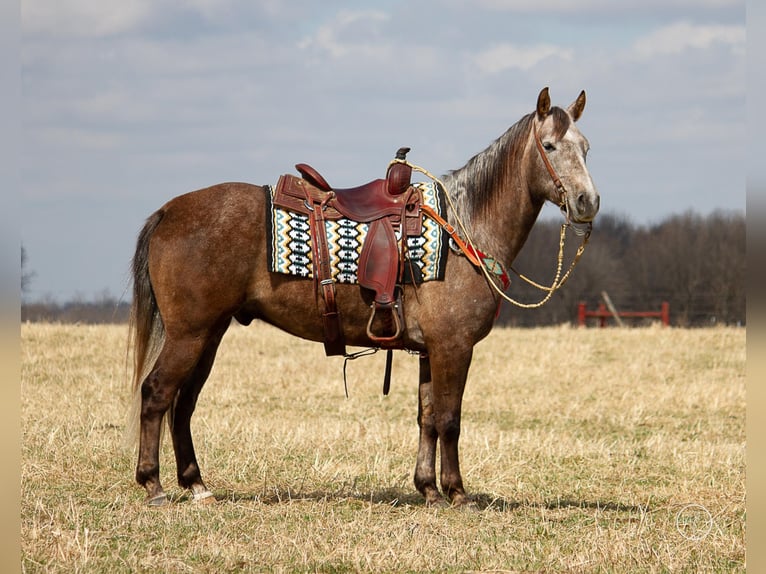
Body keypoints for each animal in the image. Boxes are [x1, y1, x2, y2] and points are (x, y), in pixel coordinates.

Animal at [129, 88, 604, 506]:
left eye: (585, 147)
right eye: (549, 146)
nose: (588, 201)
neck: (464, 228)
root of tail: (169, 212)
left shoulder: (431, 351)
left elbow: (427, 418)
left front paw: (428, 489)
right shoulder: (454, 348)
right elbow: (450, 420)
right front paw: (457, 492)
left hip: (209, 334)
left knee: (183, 404)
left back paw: (196, 485)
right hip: (189, 334)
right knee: (157, 393)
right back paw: (153, 485)